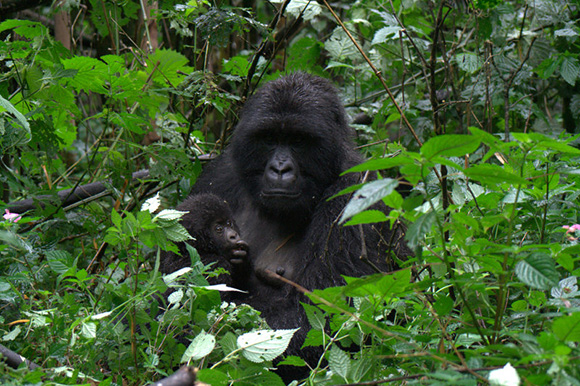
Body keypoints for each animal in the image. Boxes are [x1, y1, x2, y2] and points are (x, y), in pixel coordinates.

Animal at [188, 72, 410, 370]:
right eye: (270, 138)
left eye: (298, 141)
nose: (280, 169)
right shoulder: (218, 176)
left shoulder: (356, 194)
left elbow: (322, 318)